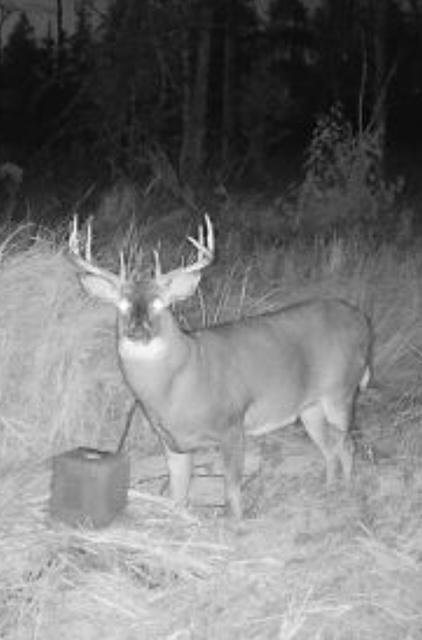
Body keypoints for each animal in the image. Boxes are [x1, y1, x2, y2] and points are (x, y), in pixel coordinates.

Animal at [68, 215, 372, 519]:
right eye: (121, 305)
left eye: (160, 304)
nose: (137, 329)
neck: (180, 384)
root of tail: (360, 319)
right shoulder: (172, 440)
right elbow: (178, 497)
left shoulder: (232, 422)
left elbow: (232, 492)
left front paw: (235, 524)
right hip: (310, 407)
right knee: (330, 449)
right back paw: (328, 492)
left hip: (341, 391)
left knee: (347, 445)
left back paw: (347, 496)